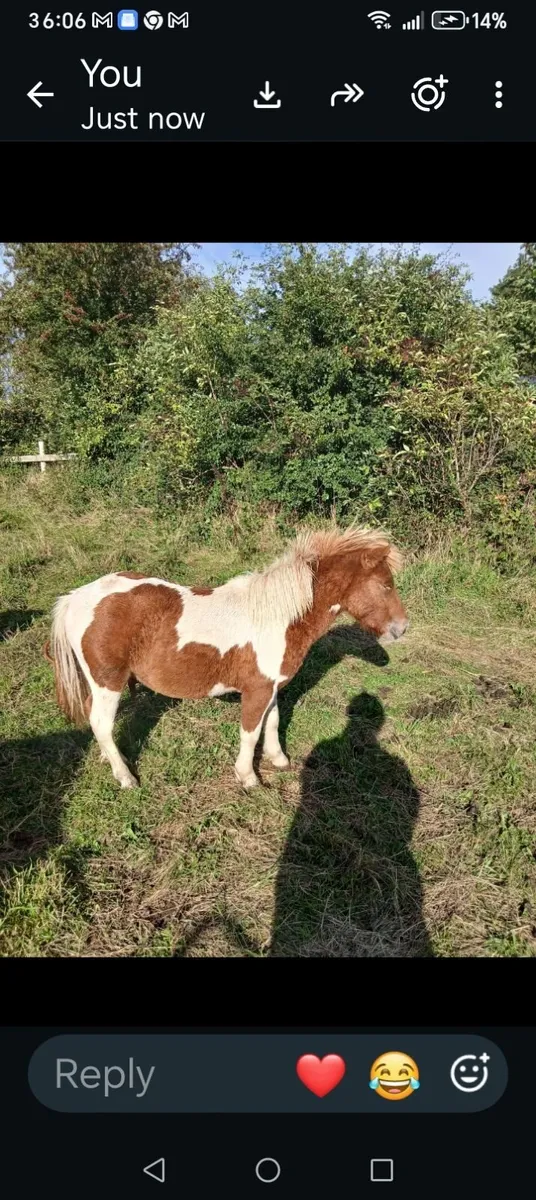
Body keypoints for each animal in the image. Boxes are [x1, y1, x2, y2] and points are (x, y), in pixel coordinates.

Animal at [44, 526, 408, 791]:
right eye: (385, 585)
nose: (402, 628)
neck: (278, 616)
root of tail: (75, 598)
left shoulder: (270, 687)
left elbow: (272, 722)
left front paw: (278, 759)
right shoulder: (257, 690)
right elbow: (250, 732)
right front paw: (248, 777)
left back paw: (108, 760)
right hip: (109, 681)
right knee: (101, 723)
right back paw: (126, 777)